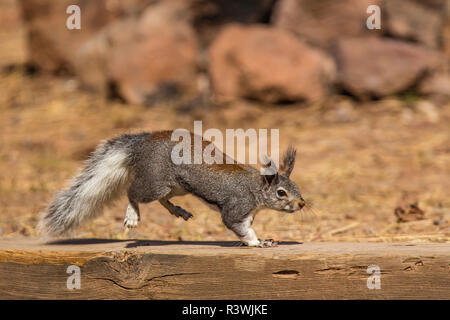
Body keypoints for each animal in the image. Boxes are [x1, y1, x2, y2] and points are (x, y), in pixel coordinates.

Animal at [39, 130, 306, 248]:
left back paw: (178, 211)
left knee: (164, 199)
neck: (255, 188)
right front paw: (256, 242)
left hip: (178, 187)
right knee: (133, 192)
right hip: (155, 183)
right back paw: (132, 214)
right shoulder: (236, 206)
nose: (302, 203)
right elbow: (237, 226)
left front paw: (262, 239)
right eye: (281, 193)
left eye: (296, 187)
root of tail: (142, 145)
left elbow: (248, 226)